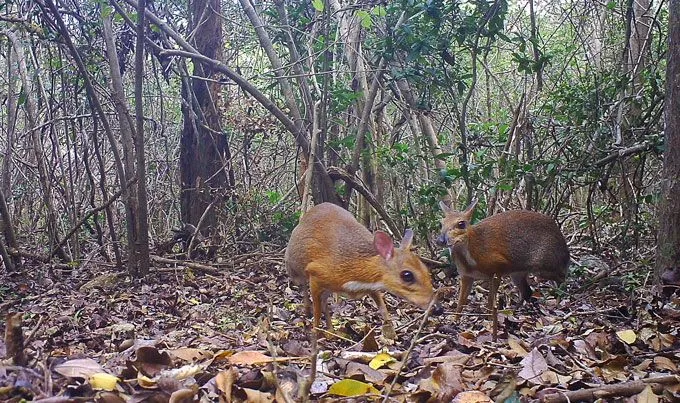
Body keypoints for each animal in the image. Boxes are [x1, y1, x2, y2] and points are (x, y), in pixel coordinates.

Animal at [284, 204, 432, 340]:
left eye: (426, 270)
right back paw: (308, 312)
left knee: (325, 301)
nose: (436, 307)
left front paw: (391, 333)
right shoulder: (315, 272)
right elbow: (317, 311)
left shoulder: (372, 286)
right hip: (294, 269)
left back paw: (331, 330)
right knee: (304, 287)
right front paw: (315, 332)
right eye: (407, 275)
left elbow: (383, 308)